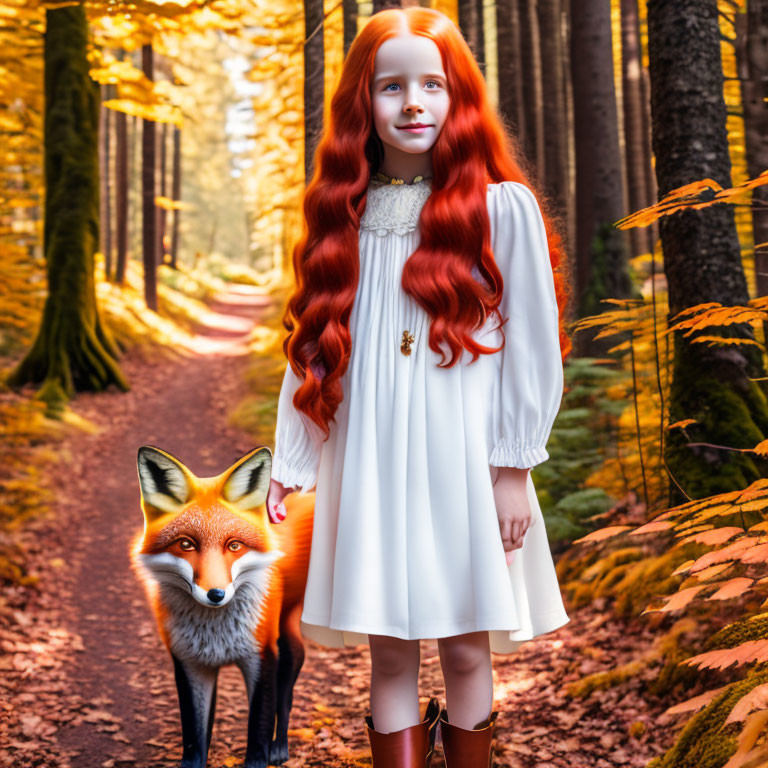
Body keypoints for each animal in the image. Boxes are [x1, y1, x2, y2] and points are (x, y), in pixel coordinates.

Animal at [130, 444, 314, 768]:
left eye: (234, 545)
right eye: (186, 544)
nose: (215, 594)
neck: (215, 635)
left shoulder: (261, 656)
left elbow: (258, 735)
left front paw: (263, 753)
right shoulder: (189, 663)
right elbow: (195, 741)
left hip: (285, 643)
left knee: (285, 698)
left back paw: (280, 746)